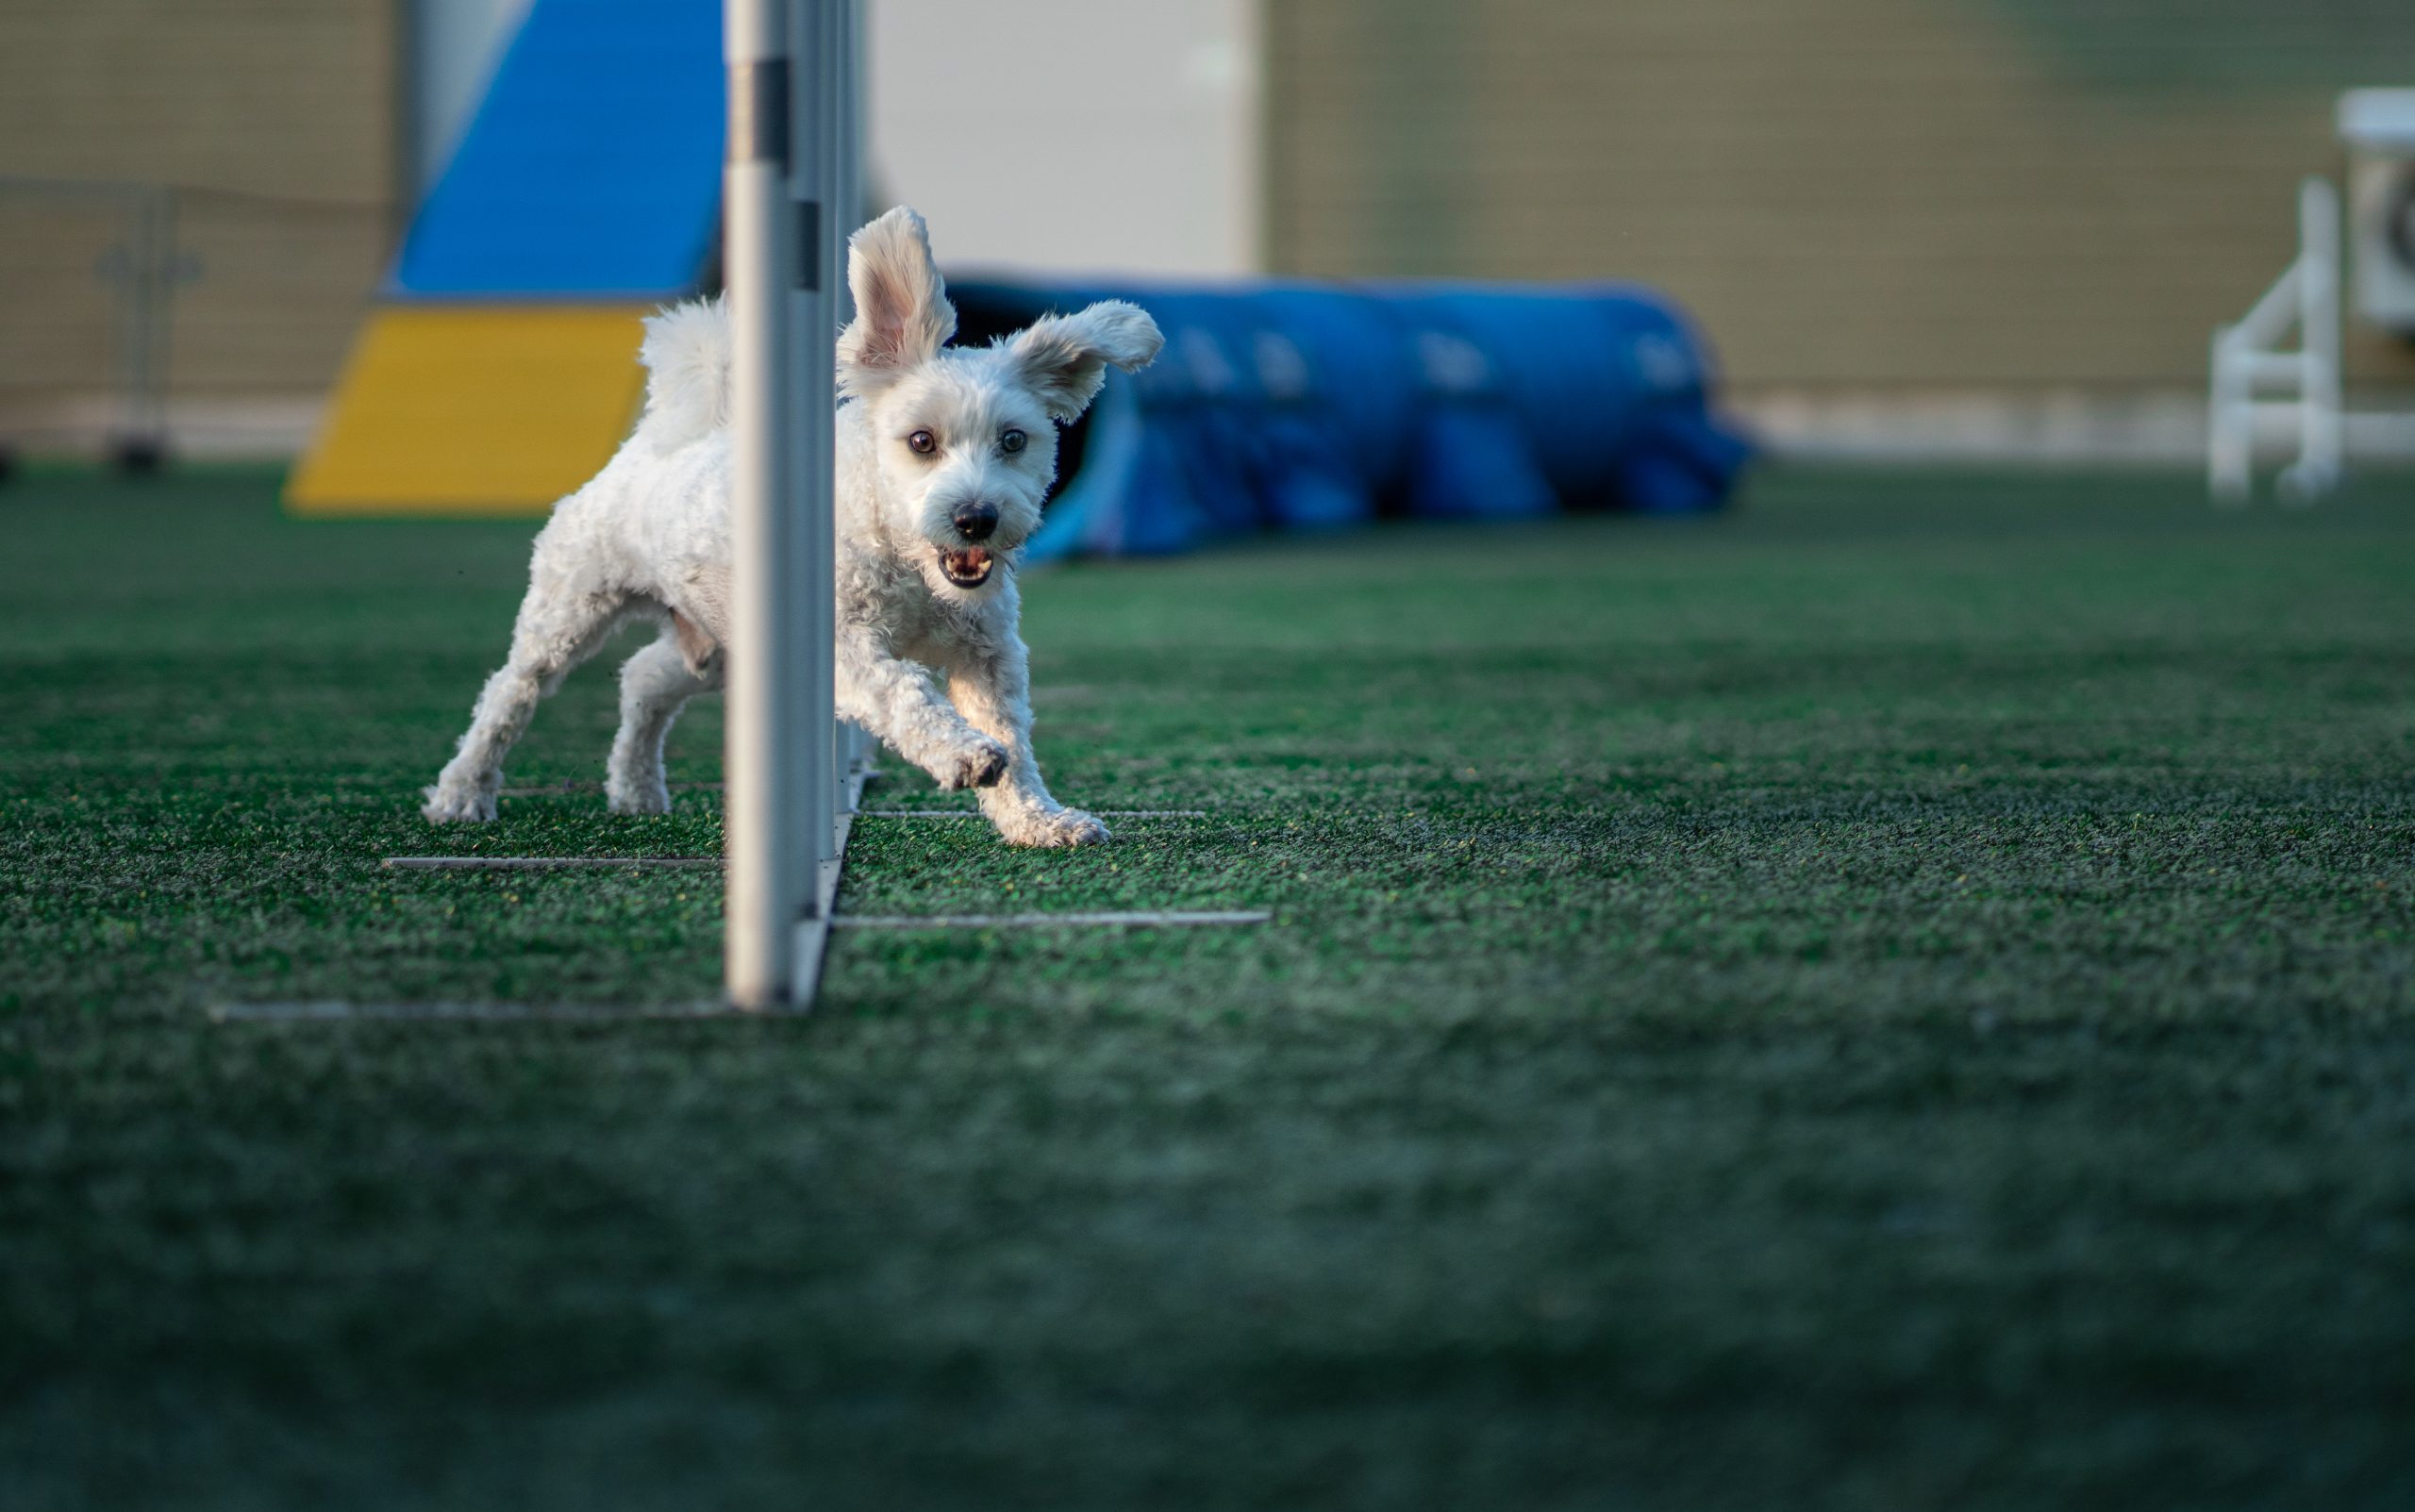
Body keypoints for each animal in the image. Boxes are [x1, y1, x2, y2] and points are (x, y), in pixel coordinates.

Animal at [423, 208, 1158, 850]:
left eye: (1014, 440)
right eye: (921, 440)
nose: (975, 518)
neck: (904, 562)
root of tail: (651, 439)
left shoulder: (988, 653)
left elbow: (1016, 739)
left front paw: (1040, 819)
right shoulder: (842, 647)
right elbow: (905, 692)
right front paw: (965, 754)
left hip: (717, 640)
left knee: (644, 677)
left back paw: (636, 790)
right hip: (570, 605)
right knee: (510, 689)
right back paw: (462, 794)